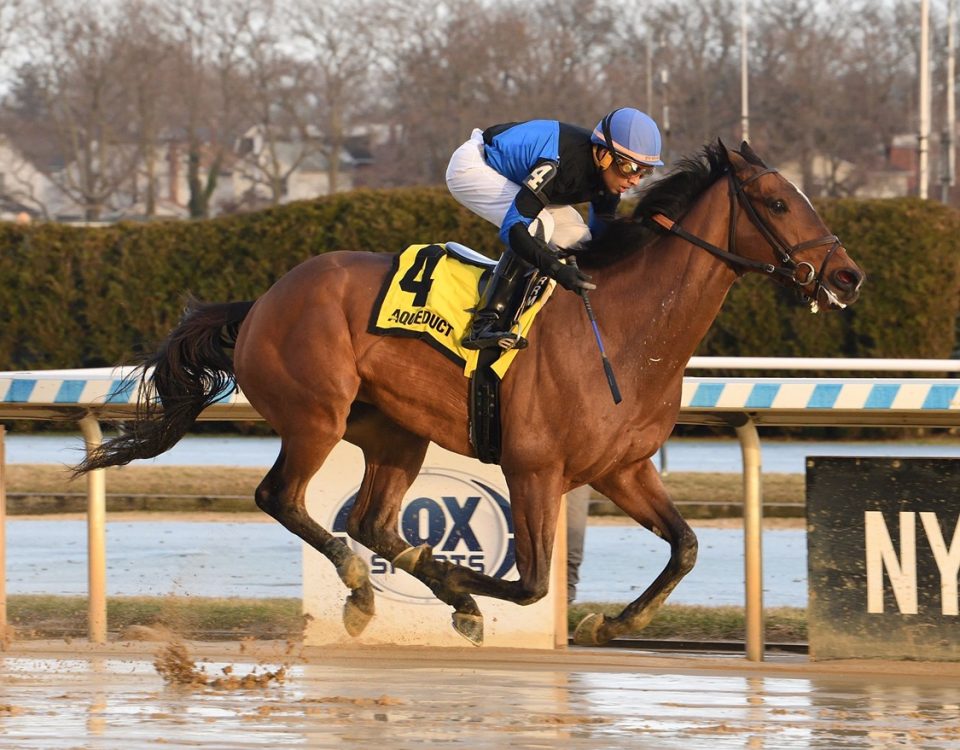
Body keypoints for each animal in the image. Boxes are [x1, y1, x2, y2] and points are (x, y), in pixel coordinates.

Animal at [79, 141, 868, 648]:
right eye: (777, 201)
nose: (848, 275)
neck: (622, 326)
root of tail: (263, 300)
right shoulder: (534, 467)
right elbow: (532, 584)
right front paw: (462, 591)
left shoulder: (622, 467)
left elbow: (686, 546)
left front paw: (613, 621)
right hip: (315, 417)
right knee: (285, 499)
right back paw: (367, 586)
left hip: (394, 432)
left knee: (371, 522)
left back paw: (386, 587)